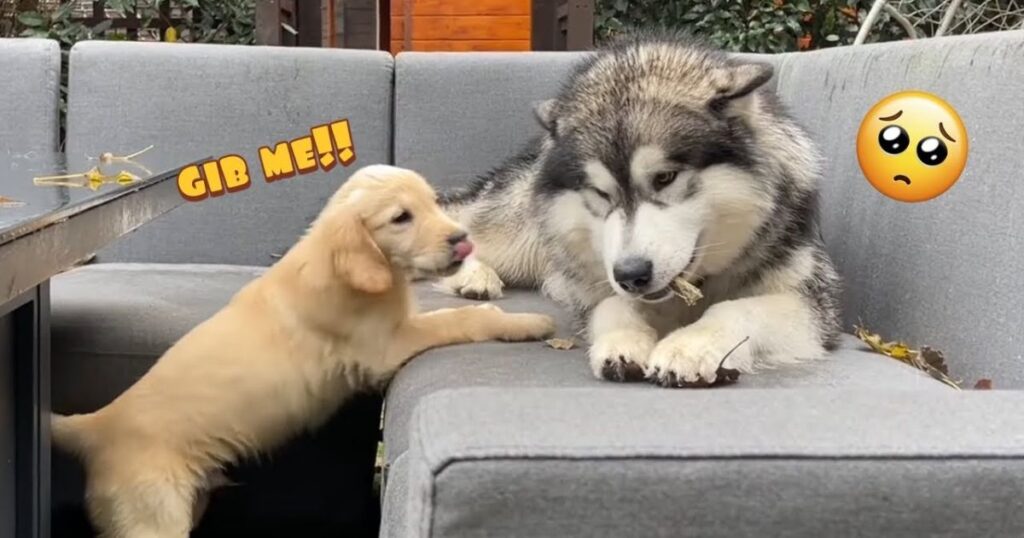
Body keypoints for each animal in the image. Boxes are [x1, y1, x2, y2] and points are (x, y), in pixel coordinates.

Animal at [51, 163, 557, 536]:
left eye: (434, 203)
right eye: (401, 217)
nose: (462, 240)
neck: (348, 267)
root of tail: (95, 425)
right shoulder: (387, 343)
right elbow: (460, 319)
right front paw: (526, 322)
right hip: (152, 517)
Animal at [436, 31, 843, 383]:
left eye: (665, 177)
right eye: (601, 193)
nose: (631, 274)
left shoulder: (814, 308)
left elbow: (737, 307)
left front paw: (694, 343)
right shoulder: (596, 290)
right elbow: (613, 305)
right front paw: (623, 340)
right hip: (519, 237)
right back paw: (475, 277)